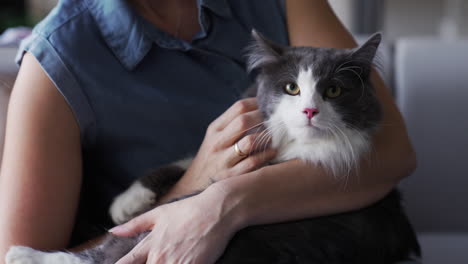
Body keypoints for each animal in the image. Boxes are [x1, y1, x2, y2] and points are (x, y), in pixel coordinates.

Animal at [4, 30, 420, 264]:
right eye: (291, 88)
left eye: (333, 90)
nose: (309, 110)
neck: (291, 148)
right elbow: (189, 160)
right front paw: (127, 201)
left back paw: (22, 254)